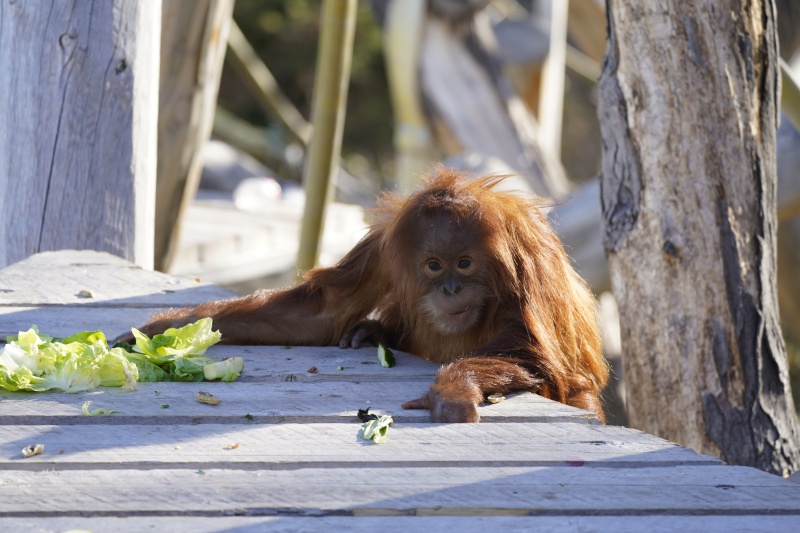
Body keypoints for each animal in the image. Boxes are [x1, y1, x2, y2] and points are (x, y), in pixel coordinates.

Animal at [127, 169, 609, 422]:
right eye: (434, 265)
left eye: (465, 263)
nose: (452, 288)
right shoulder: (383, 245)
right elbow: (321, 312)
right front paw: (163, 329)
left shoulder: (527, 254)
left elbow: (534, 348)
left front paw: (454, 388)